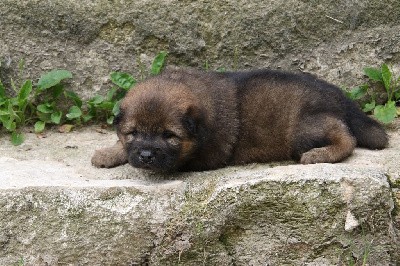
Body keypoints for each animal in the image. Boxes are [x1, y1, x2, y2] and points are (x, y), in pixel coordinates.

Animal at [91, 68, 388, 172]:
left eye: (169, 136)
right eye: (132, 133)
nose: (146, 155)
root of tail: (339, 96)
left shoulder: (203, 156)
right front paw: (109, 152)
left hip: (303, 130)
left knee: (346, 136)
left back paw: (320, 154)